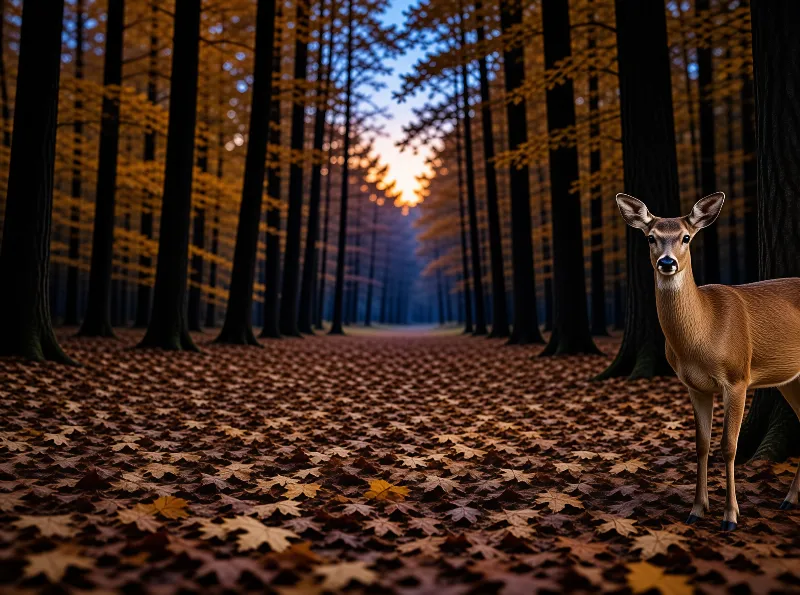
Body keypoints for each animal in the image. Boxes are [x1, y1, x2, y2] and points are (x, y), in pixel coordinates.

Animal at [615, 192, 800, 531]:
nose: (667, 262)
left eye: (686, 237)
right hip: (790, 379)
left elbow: (728, 446)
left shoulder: (737, 378)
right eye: (650, 238)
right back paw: (788, 499)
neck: (705, 332)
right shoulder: (696, 386)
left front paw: (730, 516)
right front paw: (697, 509)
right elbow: (701, 443)